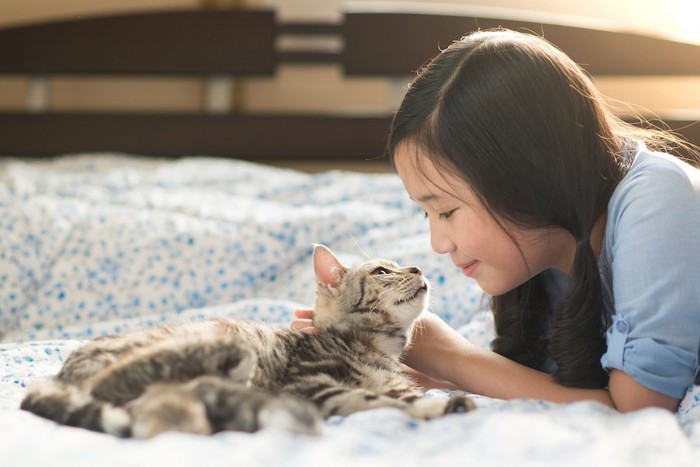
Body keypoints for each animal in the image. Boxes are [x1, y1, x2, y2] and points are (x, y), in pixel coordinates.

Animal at [20, 245, 476, 438]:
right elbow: (373, 399)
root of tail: (60, 375)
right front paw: (435, 407)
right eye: (383, 271)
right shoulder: (310, 385)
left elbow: (399, 394)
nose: (418, 268)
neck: (378, 349)